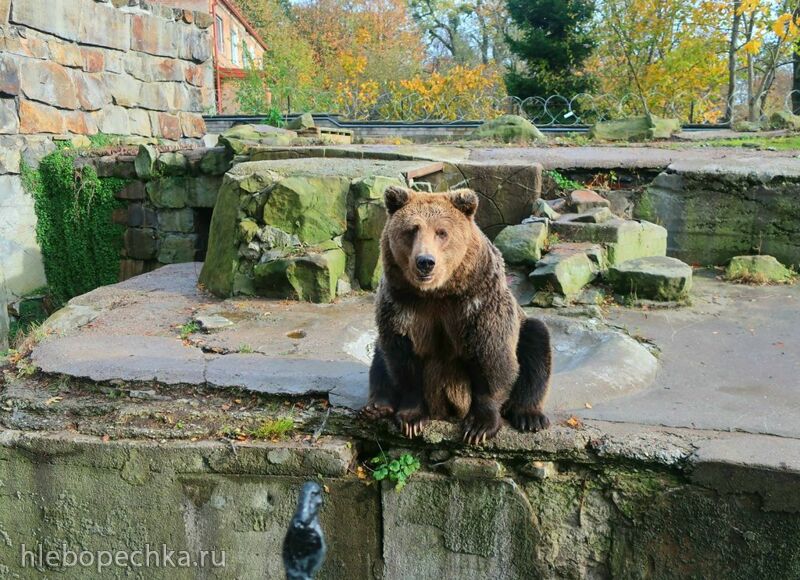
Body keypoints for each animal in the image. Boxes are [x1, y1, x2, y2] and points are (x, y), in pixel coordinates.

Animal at [360, 186, 552, 444]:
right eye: (412, 230)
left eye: (442, 232)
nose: (425, 262)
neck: (437, 293)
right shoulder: (402, 305)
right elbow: (403, 359)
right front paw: (411, 419)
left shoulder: (476, 302)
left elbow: (491, 356)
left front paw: (479, 427)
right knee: (380, 355)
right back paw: (377, 406)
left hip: (523, 327)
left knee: (536, 342)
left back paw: (529, 416)